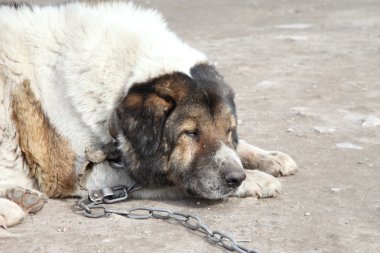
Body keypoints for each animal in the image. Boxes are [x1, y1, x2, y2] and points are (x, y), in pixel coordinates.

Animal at [0, 1, 296, 231]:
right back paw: (10, 208)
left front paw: (269, 157)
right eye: (190, 133)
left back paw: (22, 195)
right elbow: (162, 175)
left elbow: (239, 148)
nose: (235, 178)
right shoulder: (73, 175)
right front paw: (256, 179)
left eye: (228, 130)